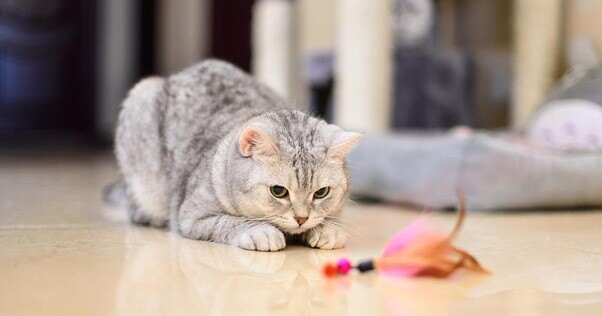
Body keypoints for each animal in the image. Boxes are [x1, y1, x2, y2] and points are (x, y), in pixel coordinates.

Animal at [115, 59, 364, 252]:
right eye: (278, 191)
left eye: (321, 193)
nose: (301, 219)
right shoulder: (193, 216)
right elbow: (230, 222)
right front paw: (261, 232)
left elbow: (328, 218)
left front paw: (326, 229)